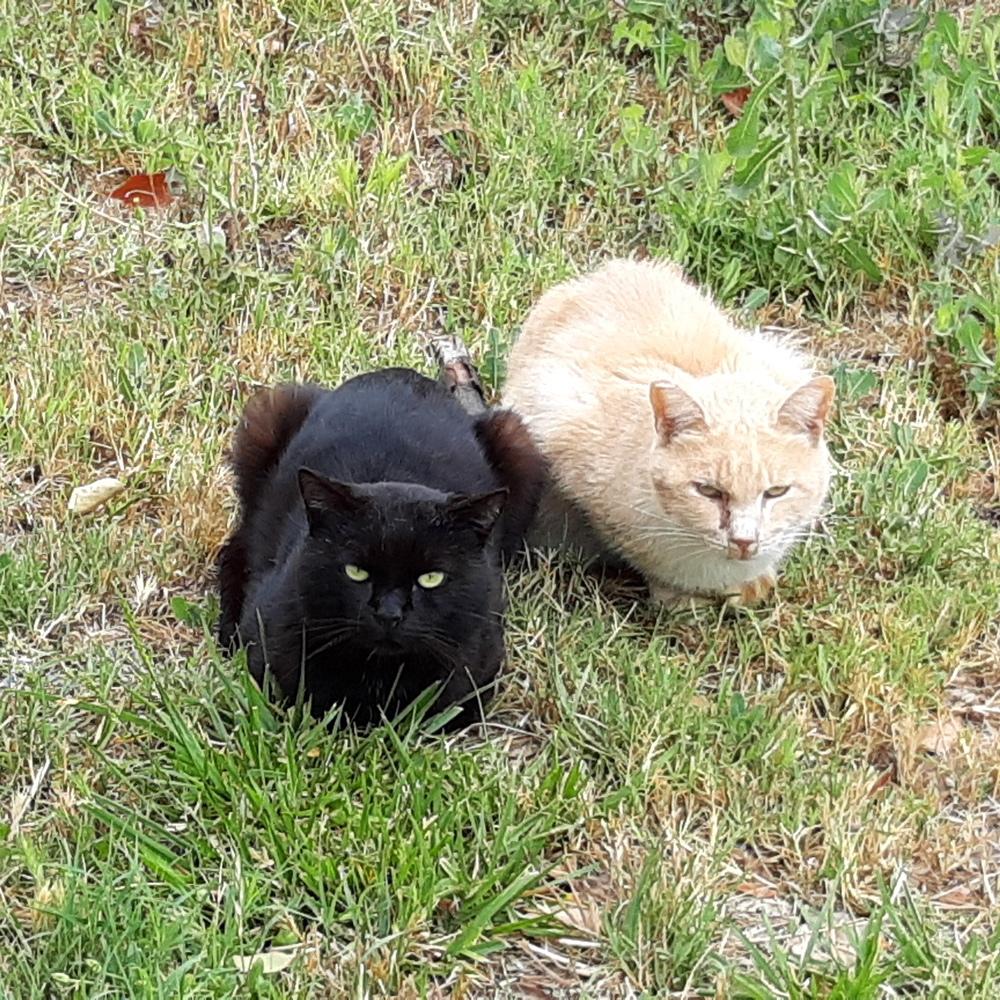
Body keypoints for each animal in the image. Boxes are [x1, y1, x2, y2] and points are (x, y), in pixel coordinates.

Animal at [219, 368, 548, 728]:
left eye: (431, 578)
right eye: (356, 572)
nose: (389, 614)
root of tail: (400, 374)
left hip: (518, 439)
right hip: (264, 419)